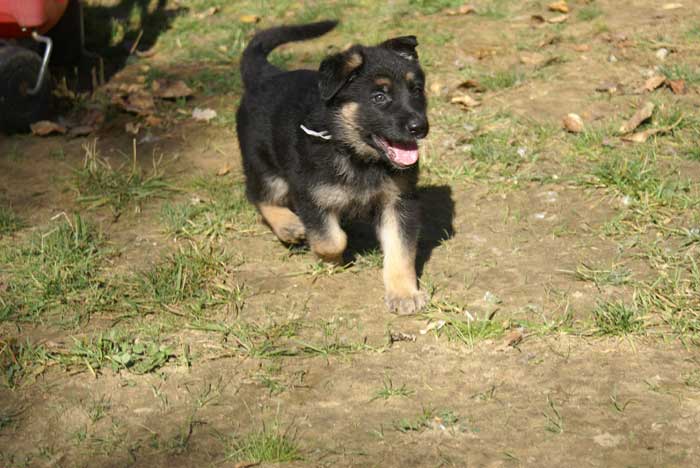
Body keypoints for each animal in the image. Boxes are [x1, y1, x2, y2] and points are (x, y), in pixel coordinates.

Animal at [238, 21, 430, 314]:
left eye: (416, 90)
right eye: (379, 97)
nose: (420, 127)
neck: (355, 154)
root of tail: (265, 77)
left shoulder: (399, 202)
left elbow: (400, 250)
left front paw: (404, 293)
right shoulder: (310, 195)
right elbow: (331, 239)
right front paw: (332, 261)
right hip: (264, 165)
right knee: (258, 194)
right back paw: (287, 225)